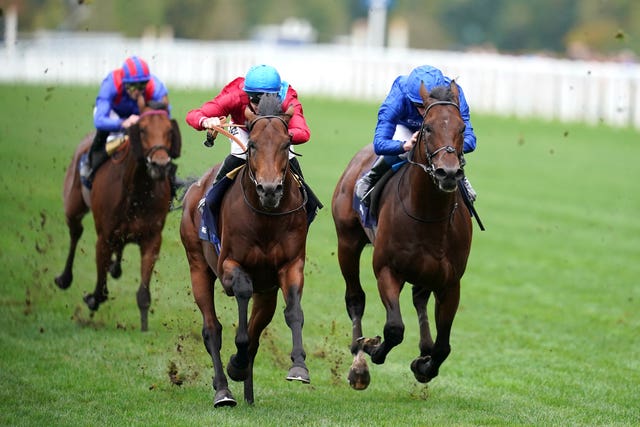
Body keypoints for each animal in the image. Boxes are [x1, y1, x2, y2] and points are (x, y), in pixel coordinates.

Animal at [53, 98, 181, 332]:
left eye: (169, 130)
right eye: (142, 129)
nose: (160, 165)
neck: (137, 191)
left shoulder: (152, 239)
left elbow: (143, 294)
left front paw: (144, 329)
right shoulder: (104, 237)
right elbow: (101, 288)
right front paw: (92, 298)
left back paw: (115, 267)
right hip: (73, 206)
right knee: (75, 233)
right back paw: (65, 278)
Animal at [180, 93, 310, 408]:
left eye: (287, 143)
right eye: (252, 145)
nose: (269, 189)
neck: (265, 219)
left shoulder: (290, 266)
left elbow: (293, 312)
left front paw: (299, 367)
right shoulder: (230, 265)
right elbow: (241, 293)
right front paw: (236, 363)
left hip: (267, 291)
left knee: (257, 325)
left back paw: (247, 390)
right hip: (197, 265)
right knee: (211, 329)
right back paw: (223, 391)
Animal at [332, 81, 472, 392]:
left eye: (461, 128)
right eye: (428, 128)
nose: (448, 172)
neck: (429, 214)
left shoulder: (451, 282)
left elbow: (444, 346)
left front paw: (424, 365)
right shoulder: (387, 269)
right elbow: (394, 329)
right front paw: (371, 348)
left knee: (419, 299)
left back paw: (423, 348)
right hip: (347, 241)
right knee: (355, 298)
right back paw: (358, 360)